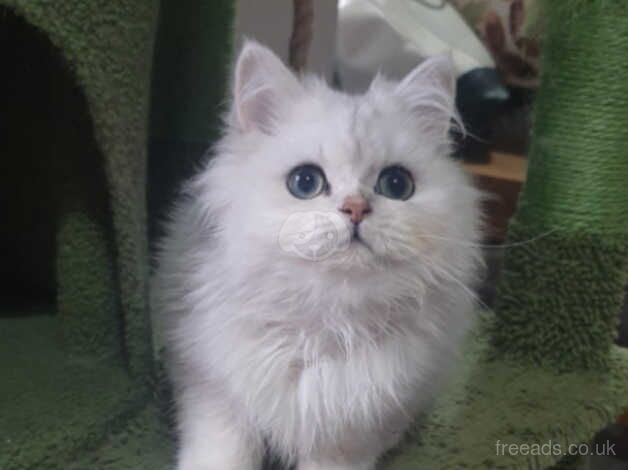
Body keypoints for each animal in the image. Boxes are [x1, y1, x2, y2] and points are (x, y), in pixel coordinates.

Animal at [155, 41, 484, 470]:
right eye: (305, 182)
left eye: (396, 184)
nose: (356, 208)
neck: (325, 328)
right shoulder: (214, 394)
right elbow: (220, 456)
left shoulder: (353, 433)